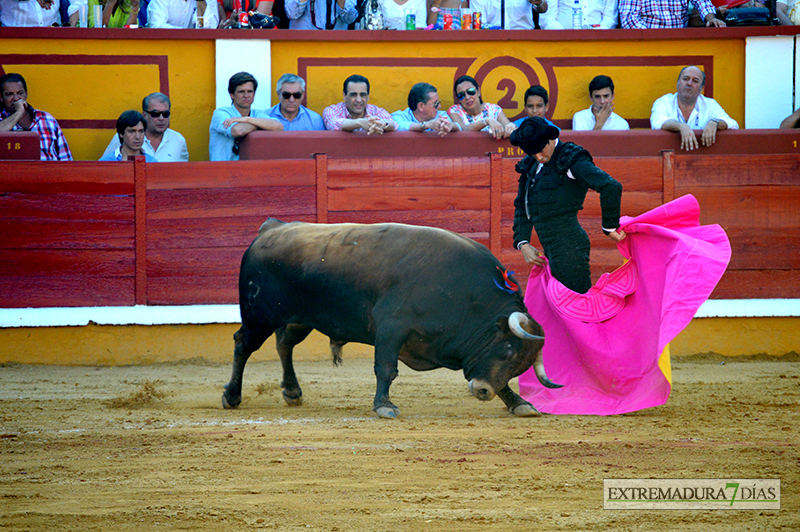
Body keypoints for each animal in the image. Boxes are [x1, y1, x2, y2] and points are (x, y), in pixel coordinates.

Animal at [223, 218, 564, 418]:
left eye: (520, 365)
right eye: (506, 350)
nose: (483, 392)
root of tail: (271, 228)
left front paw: (519, 403)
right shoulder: (391, 327)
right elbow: (386, 368)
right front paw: (384, 406)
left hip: (301, 318)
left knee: (285, 344)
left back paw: (293, 392)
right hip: (260, 315)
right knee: (243, 345)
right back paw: (232, 396)